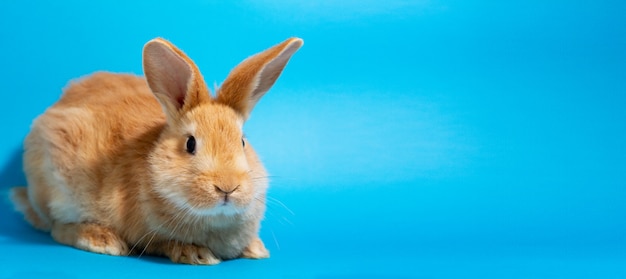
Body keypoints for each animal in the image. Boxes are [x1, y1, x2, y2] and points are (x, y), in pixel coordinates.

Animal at [9, 36, 302, 266]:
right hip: (57, 188)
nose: (227, 188)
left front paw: (256, 248)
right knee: (57, 228)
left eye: (242, 141)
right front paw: (195, 254)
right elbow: (163, 243)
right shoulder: (148, 233)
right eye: (190, 144)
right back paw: (104, 241)